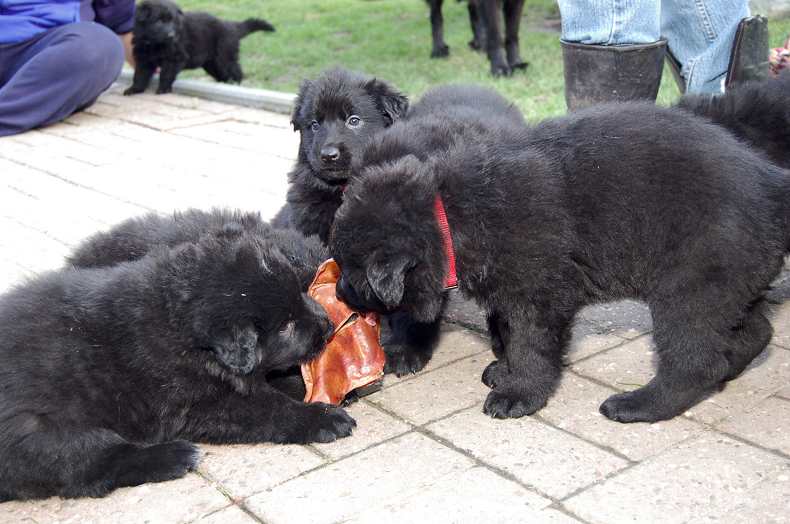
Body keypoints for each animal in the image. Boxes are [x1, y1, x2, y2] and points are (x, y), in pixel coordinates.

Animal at [0, 230, 354, 501]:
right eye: (286, 326)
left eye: (300, 292)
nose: (327, 324)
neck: (175, 319)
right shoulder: (199, 402)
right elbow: (269, 407)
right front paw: (322, 417)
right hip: (38, 430)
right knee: (91, 466)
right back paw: (173, 457)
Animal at [123, 0, 274, 95]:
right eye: (159, 21)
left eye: (173, 21)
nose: (172, 36)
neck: (155, 44)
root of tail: (230, 25)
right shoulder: (143, 59)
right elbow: (139, 75)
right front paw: (134, 89)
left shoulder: (176, 58)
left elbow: (166, 74)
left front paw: (163, 89)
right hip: (212, 64)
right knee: (224, 75)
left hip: (224, 58)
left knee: (236, 71)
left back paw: (235, 85)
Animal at [331, 101, 790, 424]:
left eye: (352, 271)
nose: (336, 289)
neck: (447, 213)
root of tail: (770, 183)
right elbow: (507, 333)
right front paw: (504, 370)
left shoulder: (538, 293)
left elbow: (529, 344)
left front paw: (518, 393)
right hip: (729, 282)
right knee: (753, 332)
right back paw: (727, 370)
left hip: (690, 285)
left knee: (694, 358)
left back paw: (640, 404)